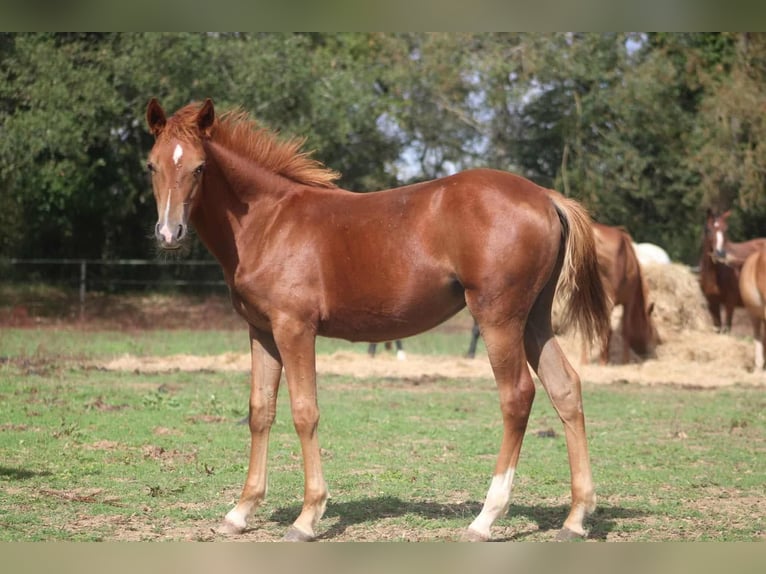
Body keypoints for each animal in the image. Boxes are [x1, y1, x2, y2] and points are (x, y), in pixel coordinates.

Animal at [145, 98, 609, 542]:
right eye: (152, 165)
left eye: (199, 167)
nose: (169, 234)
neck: (268, 221)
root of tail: (547, 196)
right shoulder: (261, 331)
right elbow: (260, 411)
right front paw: (240, 512)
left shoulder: (295, 328)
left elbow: (304, 412)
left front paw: (307, 517)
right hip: (534, 320)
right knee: (566, 388)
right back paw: (575, 519)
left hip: (499, 317)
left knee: (517, 397)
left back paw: (485, 519)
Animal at [583, 223, 660, 365]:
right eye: (651, 329)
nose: (647, 352)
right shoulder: (628, 301)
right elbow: (625, 330)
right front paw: (625, 361)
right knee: (605, 329)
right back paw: (603, 362)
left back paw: (584, 361)